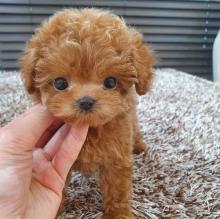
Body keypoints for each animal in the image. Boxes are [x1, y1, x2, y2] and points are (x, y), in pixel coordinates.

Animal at [20, 7, 155, 218]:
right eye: (60, 83)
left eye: (110, 82)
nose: (85, 101)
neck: (91, 129)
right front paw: (55, 210)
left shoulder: (117, 157)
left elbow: (117, 189)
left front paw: (118, 214)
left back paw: (139, 146)